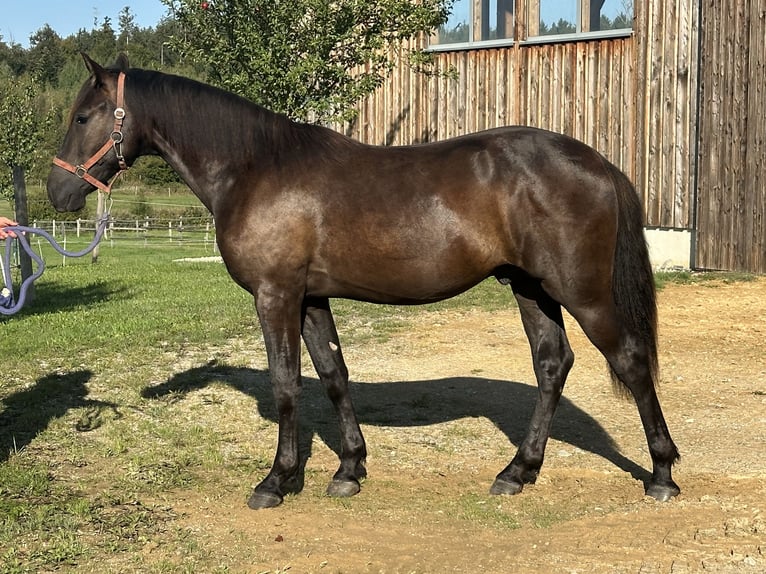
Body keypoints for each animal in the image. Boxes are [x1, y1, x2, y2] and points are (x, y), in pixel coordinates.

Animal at [47, 54, 680, 509]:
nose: (57, 192)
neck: (254, 168)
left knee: (630, 361)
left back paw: (662, 474)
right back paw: (517, 472)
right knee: (552, 365)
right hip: (531, 289)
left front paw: (277, 480)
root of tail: (597, 162)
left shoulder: (276, 296)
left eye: (83, 117)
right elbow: (333, 375)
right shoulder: (310, 298)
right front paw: (349, 468)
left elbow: (286, 385)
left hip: (583, 292)